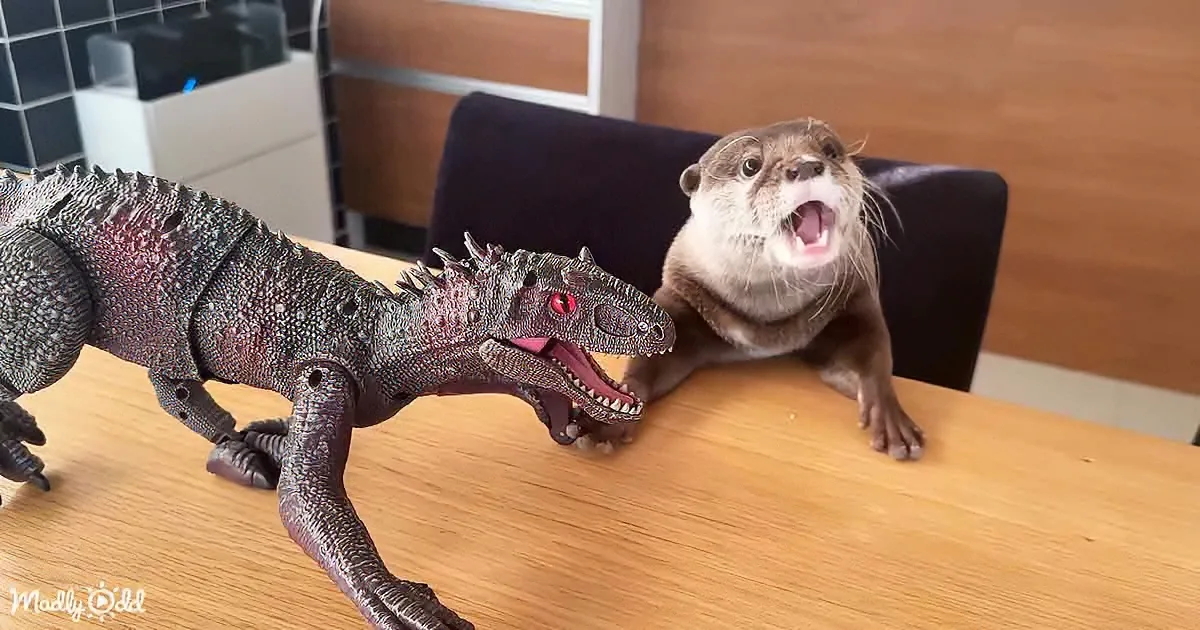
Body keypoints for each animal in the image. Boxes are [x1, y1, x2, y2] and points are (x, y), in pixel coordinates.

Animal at [577, 118, 924, 460]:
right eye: (750, 165)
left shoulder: (855, 297)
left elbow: (873, 358)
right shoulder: (681, 292)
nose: (806, 165)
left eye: (829, 149)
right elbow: (646, 362)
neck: (768, 322)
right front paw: (607, 418)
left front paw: (892, 419)